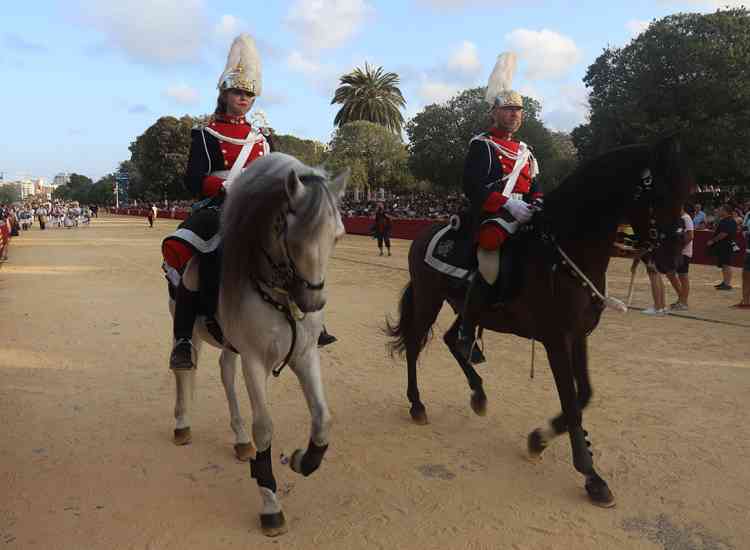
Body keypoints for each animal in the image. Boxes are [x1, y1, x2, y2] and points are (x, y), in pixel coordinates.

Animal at [169, 153, 348, 536]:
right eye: (292, 234)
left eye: (338, 236)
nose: (313, 303)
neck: (280, 293)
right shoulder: (254, 359)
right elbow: (264, 426)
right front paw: (270, 503)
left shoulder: (305, 355)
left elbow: (322, 418)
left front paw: (303, 460)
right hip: (187, 326)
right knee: (185, 368)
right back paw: (182, 423)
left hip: (229, 344)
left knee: (225, 372)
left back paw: (238, 439)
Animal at [390, 137, 696, 508]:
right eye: (659, 194)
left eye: (687, 192)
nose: (673, 259)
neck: (566, 249)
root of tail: (427, 232)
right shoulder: (555, 339)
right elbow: (572, 401)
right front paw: (590, 475)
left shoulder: (578, 335)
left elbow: (584, 395)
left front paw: (541, 438)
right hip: (428, 299)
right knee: (414, 343)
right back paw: (417, 404)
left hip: (466, 309)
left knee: (455, 340)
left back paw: (478, 393)